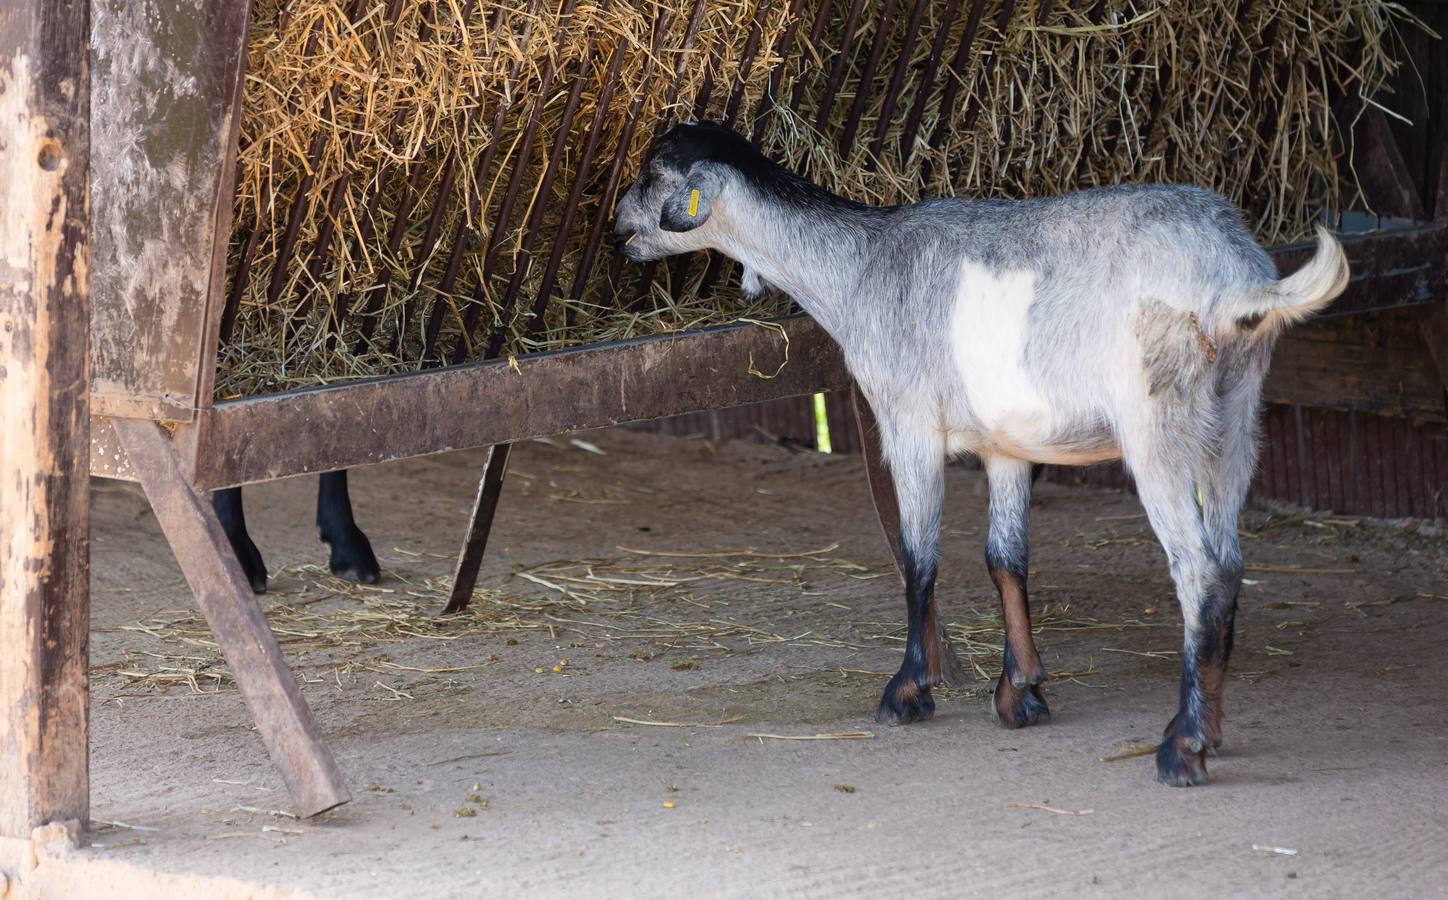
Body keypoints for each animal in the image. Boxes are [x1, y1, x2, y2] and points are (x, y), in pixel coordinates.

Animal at [611, 121, 1343, 787]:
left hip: (1157, 423)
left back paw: (1181, 747)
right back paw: (1210, 728)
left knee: (1200, 571)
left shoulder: (906, 423)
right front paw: (1021, 691)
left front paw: (909, 690)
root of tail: (1234, 280)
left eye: (652, 172)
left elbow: (919, 556)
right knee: (1231, 562)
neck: (860, 267)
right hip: (1236, 417)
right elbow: (1005, 559)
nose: (618, 224)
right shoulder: (1007, 445)